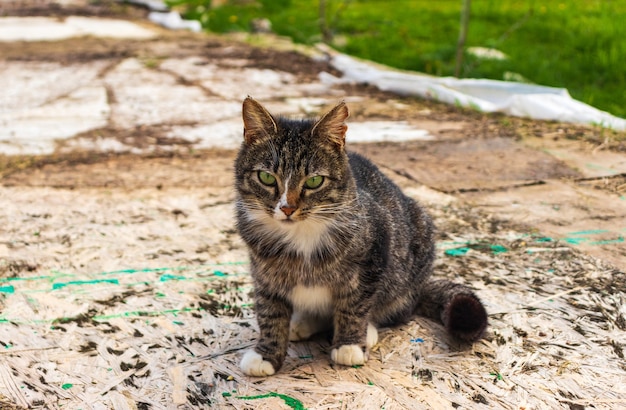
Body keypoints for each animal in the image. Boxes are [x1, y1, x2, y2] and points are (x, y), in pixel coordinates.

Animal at [234, 97, 488, 376]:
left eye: (314, 181)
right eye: (266, 177)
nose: (287, 208)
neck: (300, 235)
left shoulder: (373, 258)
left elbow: (355, 305)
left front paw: (349, 344)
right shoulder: (264, 273)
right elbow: (270, 312)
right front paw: (266, 354)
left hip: (415, 249)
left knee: (397, 308)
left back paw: (367, 331)